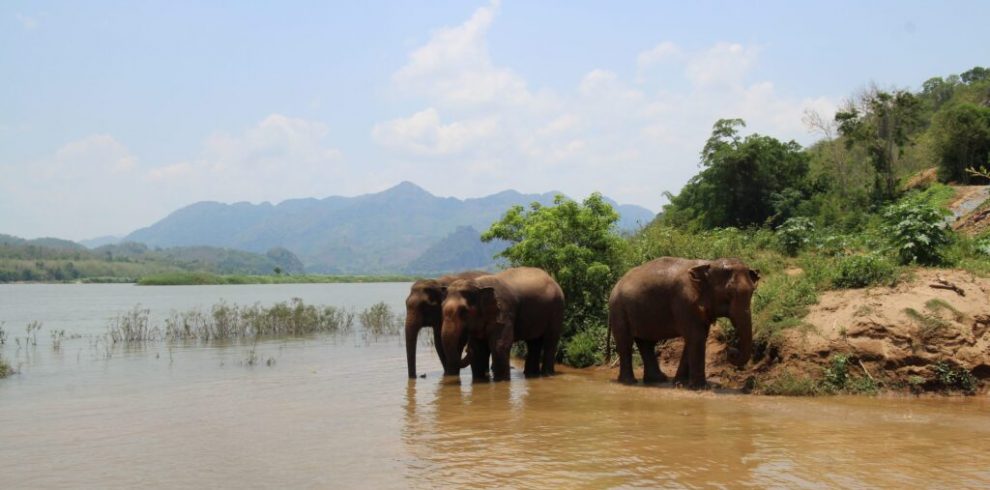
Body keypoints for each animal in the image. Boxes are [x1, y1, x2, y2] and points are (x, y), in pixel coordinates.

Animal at [604, 256, 760, 390]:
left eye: (752, 292)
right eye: (729, 294)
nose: (731, 352)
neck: (708, 264)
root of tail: (614, 287)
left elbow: (696, 337)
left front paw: (680, 383)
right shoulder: (685, 301)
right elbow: (696, 337)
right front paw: (700, 388)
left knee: (645, 342)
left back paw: (658, 379)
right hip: (619, 309)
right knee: (625, 342)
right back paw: (630, 382)